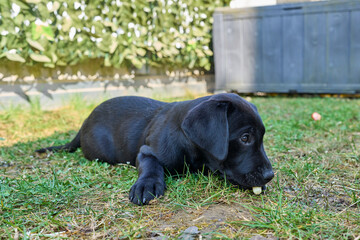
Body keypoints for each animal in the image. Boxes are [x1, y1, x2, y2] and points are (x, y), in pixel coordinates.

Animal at [35, 93, 272, 205]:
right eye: (245, 138)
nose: (270, 175)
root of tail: (84, 121)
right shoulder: (146, 152)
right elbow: (151, 166)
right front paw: (146, 185)